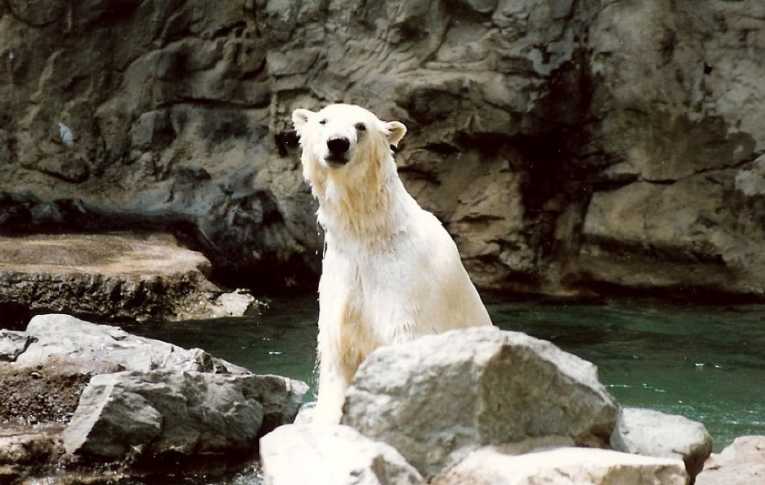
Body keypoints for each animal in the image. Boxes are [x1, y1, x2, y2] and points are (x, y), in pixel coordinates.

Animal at [292, 103, 493, 423]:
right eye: (323, 121)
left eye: (360, 126)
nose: (337, 143)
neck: (371, 233)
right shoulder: (342, 277)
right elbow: (338, 356)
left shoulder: (407, 282)